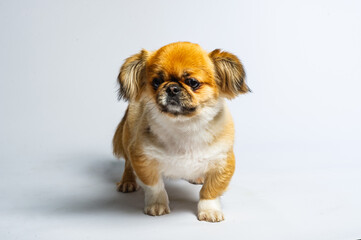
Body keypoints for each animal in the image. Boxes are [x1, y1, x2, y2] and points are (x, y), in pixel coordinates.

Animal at [112, 41, 248, 223]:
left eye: (192, 82)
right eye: (156, 82)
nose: (172, 88)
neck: (185, 127)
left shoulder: (223, 161)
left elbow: (210, 191)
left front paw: (209, 210)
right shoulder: (142, 157)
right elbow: (155, 186)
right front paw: (157, 205)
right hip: (128, 138)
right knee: (127, 164)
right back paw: (127, 182)